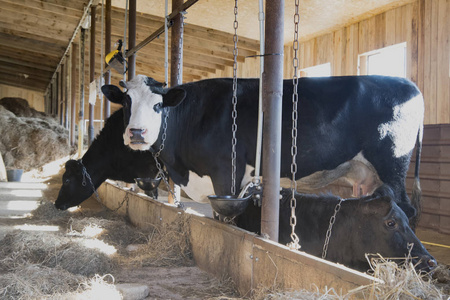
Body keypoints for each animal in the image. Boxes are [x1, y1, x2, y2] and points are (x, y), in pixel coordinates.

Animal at [102, 74, 426, 225]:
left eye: (158, 105)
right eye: (127, 102)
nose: (136, 133)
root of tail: (409, 84)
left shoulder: (226, 173)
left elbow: (224, 219)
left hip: (392, 162)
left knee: (407, 208)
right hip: (367, 173)